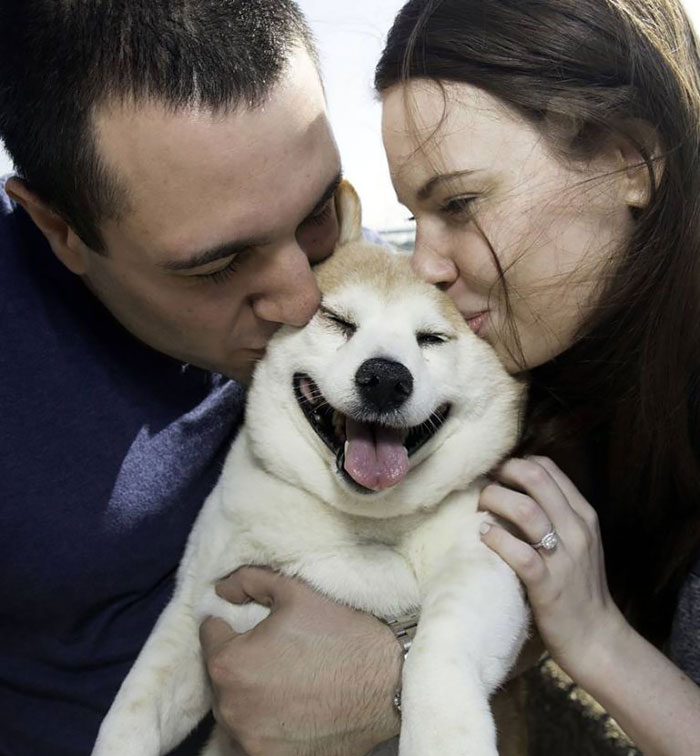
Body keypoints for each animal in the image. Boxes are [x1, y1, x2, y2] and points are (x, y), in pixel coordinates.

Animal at [91, 183, 532, 756]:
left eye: (432, 338)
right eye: (337, 320)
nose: (385, 378)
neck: (352, 522)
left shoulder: (486, 566)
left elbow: (440, 646)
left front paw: (442, 736)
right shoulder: (194, 607)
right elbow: (132, 710)